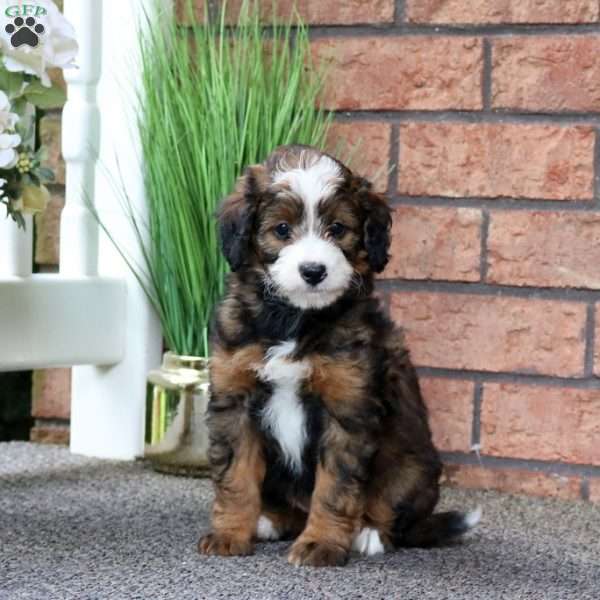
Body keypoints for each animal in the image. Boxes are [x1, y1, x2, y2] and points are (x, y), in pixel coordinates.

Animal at [199, 145, 480, 568]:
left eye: (337, 228)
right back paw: (270, 520)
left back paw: (369, 533)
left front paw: (322, 543)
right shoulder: (235, 400)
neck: (295, 320)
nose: (314, 270)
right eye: (282, 230)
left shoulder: (347, 408)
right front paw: (229, 533)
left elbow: (335, 487)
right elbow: (235, 476)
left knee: (392, 513)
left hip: (411, 466)